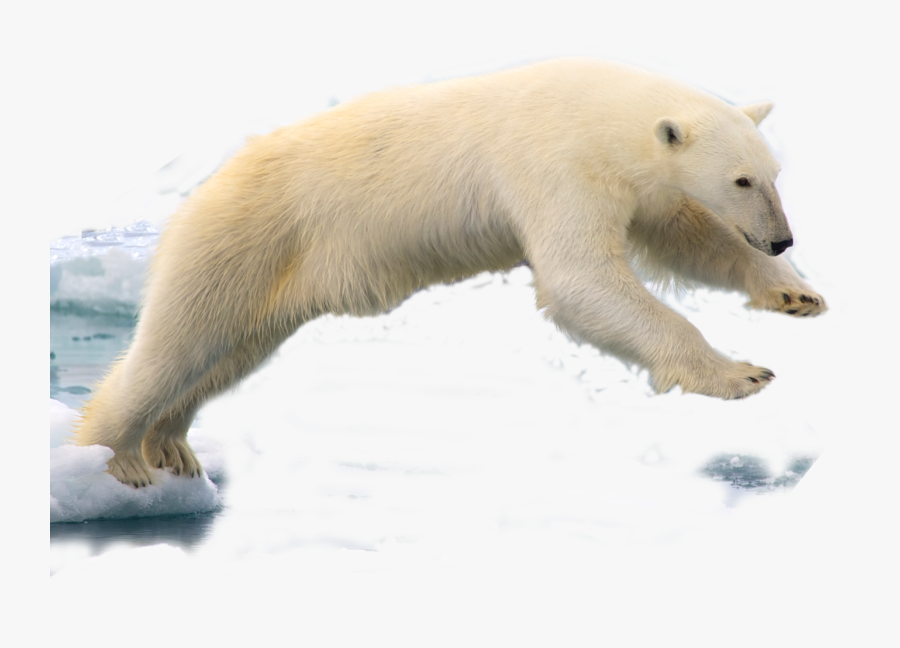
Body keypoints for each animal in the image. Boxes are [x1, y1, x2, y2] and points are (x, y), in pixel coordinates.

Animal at [74, 57, 826, 487]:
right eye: (741, 179)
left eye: (773, 173)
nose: (783, 237)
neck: (597, 111)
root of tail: (206, 188)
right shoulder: (553, 164)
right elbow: (581, 278)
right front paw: (741, 374)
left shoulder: (635, 184)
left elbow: (687, 237)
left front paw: (794, 293)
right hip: (244, 237)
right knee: (179, 341)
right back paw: (117, 460)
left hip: (278, 276)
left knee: (227, 353)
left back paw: (172, 446)